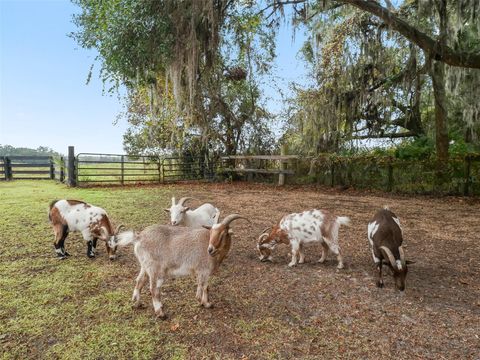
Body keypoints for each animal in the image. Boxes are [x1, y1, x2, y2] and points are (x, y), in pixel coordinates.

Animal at [109, 214, 248, 318]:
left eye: (223, 234)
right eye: (212, 232)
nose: (210, 249)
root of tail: (138, 237)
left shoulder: (199, 271)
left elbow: (201, 286)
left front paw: (200, 300)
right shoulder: (204, 270)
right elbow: (205, 287)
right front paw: (206, 303)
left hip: (145, 266)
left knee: (139, 281)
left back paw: (138, 303)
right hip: (155, 269)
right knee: (153, 289)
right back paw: (160, 313)